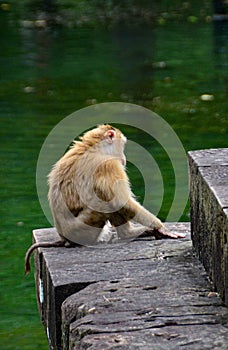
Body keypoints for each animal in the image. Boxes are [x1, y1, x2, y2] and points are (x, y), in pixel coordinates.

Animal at [25, 124, 185, 274]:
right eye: (123, 146)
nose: (124, 159)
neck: (93, 147)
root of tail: (64, 238)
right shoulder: (108, 165)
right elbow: (121, 201)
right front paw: (161, 227)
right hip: (82, 230)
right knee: (104, 202)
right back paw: (128, 234)